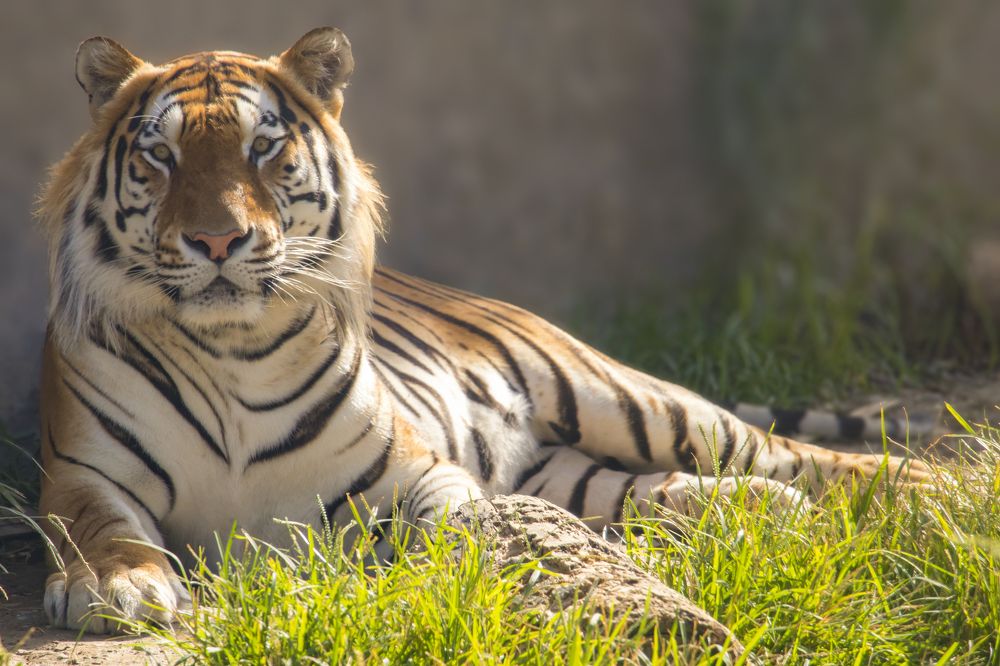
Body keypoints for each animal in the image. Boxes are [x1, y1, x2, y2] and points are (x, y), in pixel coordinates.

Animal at [36, 28, 934, 633]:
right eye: (162, 156)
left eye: (263, 148)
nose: (217, 241)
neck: (233, 352)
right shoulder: (81, 472)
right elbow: (99, 529)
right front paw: (119, 586)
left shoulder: (415, 473)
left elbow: (466, 523)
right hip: (566, 470)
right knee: (652, 493)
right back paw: (763, 512)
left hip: (623, 398)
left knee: (788, 450)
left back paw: (930, 491)